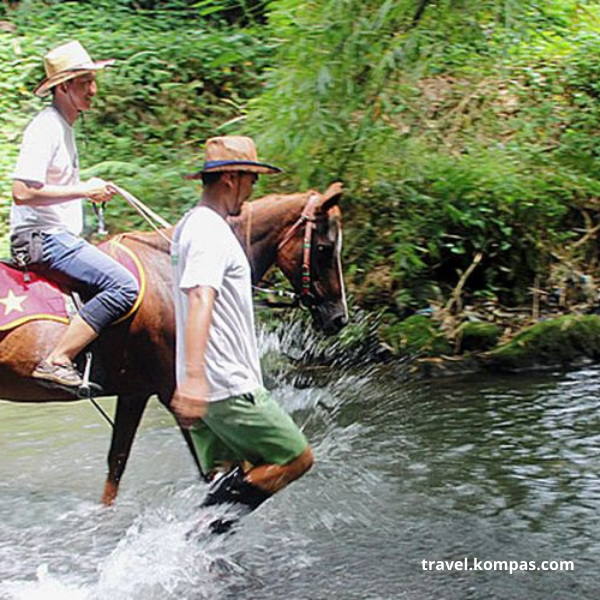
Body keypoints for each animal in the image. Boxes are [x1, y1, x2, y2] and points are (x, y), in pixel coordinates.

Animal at [0, 182, 346, 502]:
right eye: (324, 249)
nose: (339, 318)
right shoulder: (176, 392)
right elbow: (217, 469)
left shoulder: (135, 393)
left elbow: (116, 465)